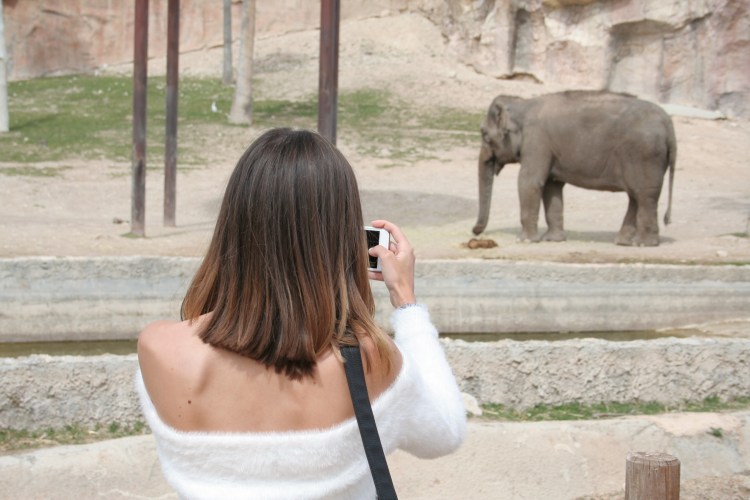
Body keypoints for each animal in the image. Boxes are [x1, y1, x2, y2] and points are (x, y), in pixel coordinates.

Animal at [472, 91, 676, 246]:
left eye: (484, 134)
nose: (475, 232)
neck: (523, 103)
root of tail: (668, 124)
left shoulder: (537, 141)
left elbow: (529, 183)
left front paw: (526, 241)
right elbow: (552, 187)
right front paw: (553, 240)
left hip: (644, 156)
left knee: (644, 196)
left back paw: (643, 244)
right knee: (635, 196)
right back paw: (623, 242)